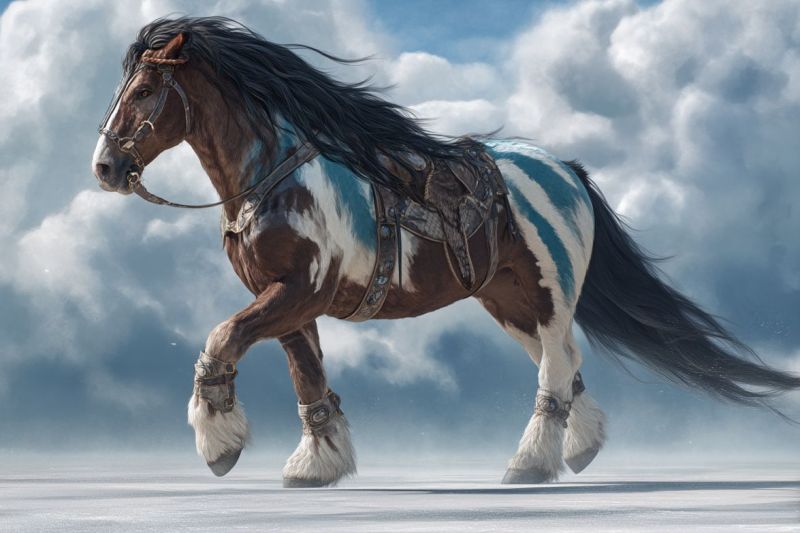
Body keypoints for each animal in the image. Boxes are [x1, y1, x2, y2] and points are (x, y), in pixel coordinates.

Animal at [91, 17, 800, 487]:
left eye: (146, 90)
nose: (104, 167)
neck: (276, 176)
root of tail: (566, 170)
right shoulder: (288, 304)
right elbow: (306, 376)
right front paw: (318, 465)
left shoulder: (295, 292)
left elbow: (221, 339)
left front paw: (219, 447)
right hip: (506, 298)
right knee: (564, 362)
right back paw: (577, 450)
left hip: (548, 290)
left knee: (555, 364)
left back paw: (529, 464)